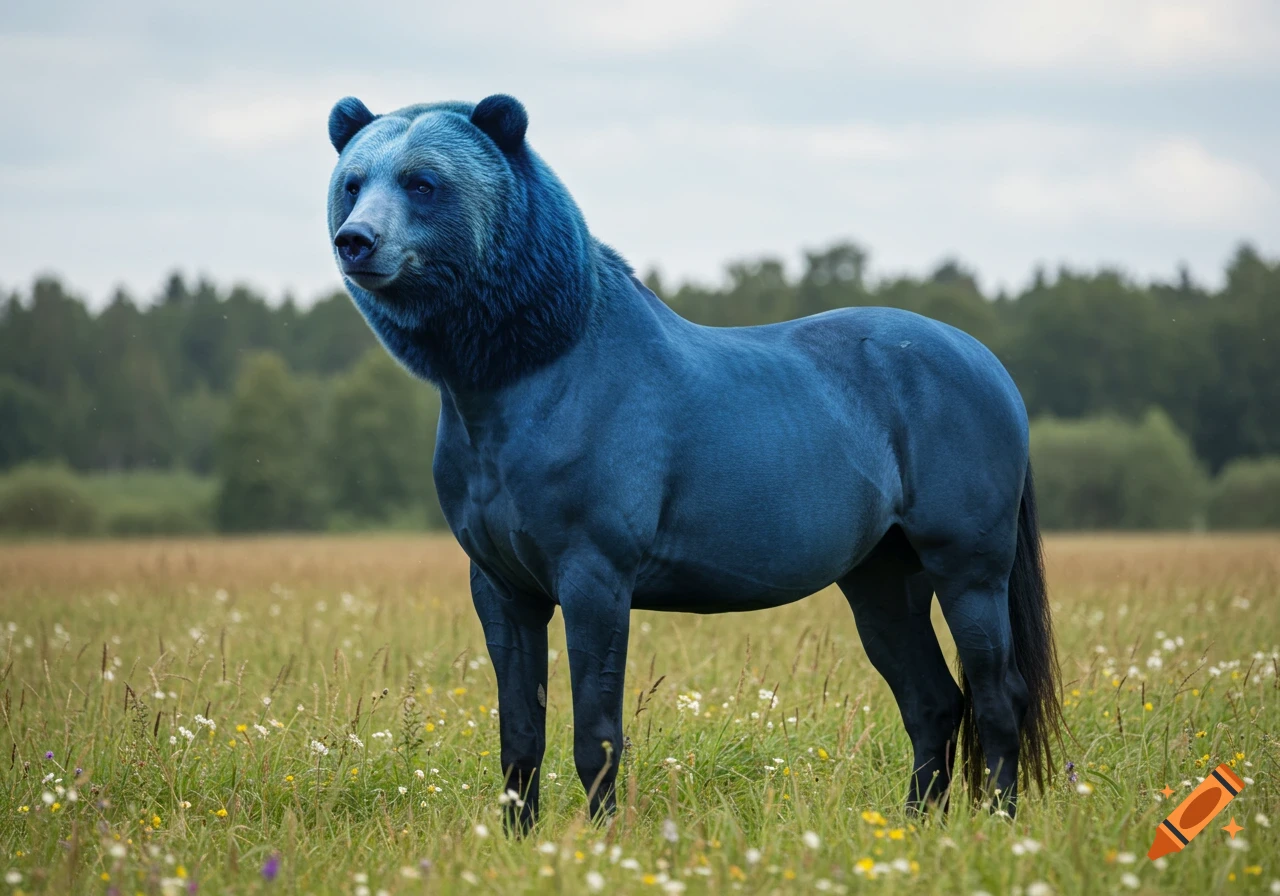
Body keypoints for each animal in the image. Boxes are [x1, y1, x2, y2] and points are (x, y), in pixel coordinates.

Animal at [326, 94, 1060, 831]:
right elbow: (519, 735)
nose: (354, 242)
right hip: (883, 581)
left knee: (997, 699)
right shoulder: (502, 589)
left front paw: (600, 841)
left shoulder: (595, 580)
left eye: (424, 183)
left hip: (968, 571)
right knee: (932, 703)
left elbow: (596, 735)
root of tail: (986, 363)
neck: (550, 374)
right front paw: (516, 841)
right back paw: (913, 827)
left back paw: (998, 829)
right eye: (353, 184)